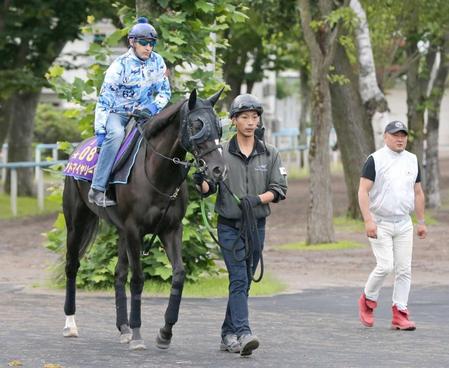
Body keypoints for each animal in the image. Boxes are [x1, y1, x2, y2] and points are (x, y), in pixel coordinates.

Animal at [61, 89, 226, 350]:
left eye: (219, 125)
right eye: (196, 124)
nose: (218, 170)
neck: (156, 174)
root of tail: (78, 149)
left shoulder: (170, 229)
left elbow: (179, 274)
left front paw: (165, 332)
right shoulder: (133, 230)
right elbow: (138, 279)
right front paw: (138, 334)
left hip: (119, 232)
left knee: (118, 273)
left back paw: (123, 328)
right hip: (76, 222)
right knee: (72, 266)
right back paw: (70, 324)